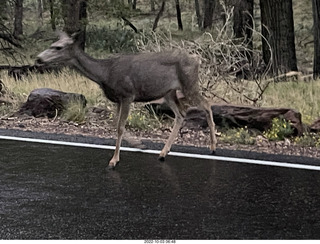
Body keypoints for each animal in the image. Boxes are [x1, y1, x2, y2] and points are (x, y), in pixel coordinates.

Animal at [36, 31, 218, 168]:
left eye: (58, 47)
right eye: (52, 44)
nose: (38, 58)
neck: (105, 73)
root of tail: (197, 59)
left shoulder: (127, 95)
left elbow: (120, 127)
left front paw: (114, 160)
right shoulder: (118, 99)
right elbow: (115, 123)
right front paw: (138, 144)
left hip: (189, 83)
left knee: (206, 104)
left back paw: (213, 146)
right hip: (169, 92)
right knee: (181, 114)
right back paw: (163, 153)